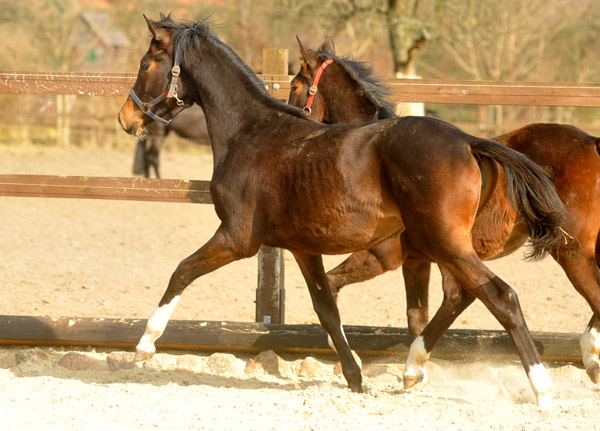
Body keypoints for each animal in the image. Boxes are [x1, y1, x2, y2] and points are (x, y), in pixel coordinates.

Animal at [117, 16, 568, 408]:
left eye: (144, 63)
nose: (126, 117)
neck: (250, 133)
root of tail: (467, 141)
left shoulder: (237, 238)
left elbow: (182, 271)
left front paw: (144, 346)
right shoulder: (303, 249)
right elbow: (327, 310)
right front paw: (355, 378)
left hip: (445, 244)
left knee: (500, 296)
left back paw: (542, 391)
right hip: (442, 247)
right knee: (466, 296)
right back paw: (414, 369)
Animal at [288, 38, 600, 388]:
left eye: (295, 85)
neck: (373, 156)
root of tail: (593, 142)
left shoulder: (383, 255)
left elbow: (332, 286)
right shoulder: (418, 259)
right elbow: (419, 313)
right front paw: (413, 367)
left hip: (571, 251)